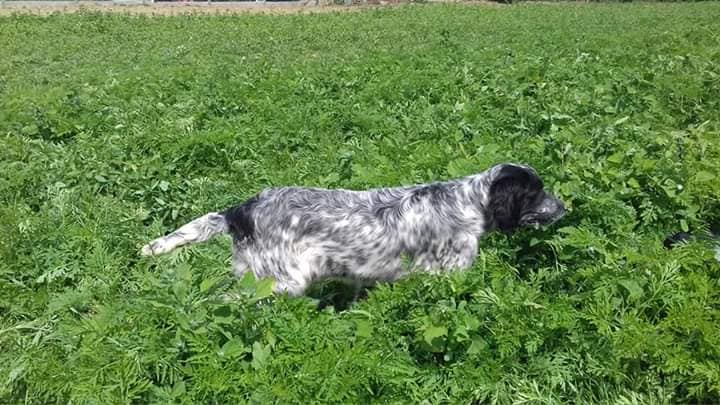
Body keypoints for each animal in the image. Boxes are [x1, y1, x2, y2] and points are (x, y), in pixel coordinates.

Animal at [141, 163, 568, 296]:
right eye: (537, 192)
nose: (565, 207)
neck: (469, 203)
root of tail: (239, 210)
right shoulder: (443, 275)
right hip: (281, 283)